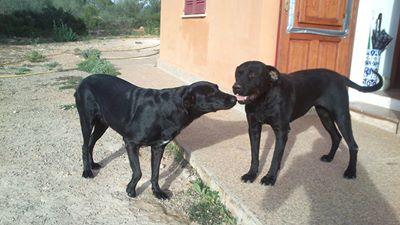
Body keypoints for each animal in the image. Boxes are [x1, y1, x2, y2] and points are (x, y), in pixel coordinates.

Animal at [74, 74, 236, 200]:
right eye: (210, 94)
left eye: (218, 87)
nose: (234, 98)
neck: (169, 109)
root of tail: (84, 80)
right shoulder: (131, 143)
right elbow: (138, 172)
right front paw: (131, 190)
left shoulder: (158, 147)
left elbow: (155, 173)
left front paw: (157, 192)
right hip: (87, 121)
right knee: (84, 146)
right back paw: (87, 171)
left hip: (103, 124)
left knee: (91, 144)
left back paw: (93, 164)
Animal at [233, 60, 382, 185]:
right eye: (238, 73)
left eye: (253, 75)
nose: (236, 87)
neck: (263, 100)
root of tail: (340, 76)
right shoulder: (253, 128)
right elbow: (255, 155)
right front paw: (251, 174)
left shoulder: (282, 131)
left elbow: (275, 157)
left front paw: (270, 177)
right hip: (324, 115)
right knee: (336, 137)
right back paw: (329, 157)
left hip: (341, 116)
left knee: (353, 145)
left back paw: (350, 171)